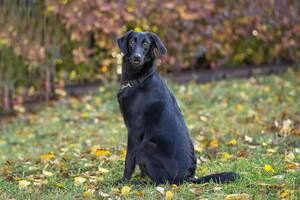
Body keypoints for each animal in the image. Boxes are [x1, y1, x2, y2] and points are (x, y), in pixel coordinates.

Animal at [117, 30, 239, 184]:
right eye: (132, 41)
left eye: (146, 44)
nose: (137, 58)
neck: (139, 79)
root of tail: (187, 177)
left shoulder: (135, 131)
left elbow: (128, 160)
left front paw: (123, 182)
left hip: (145, 147)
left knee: (161, 182)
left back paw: (138, 183)